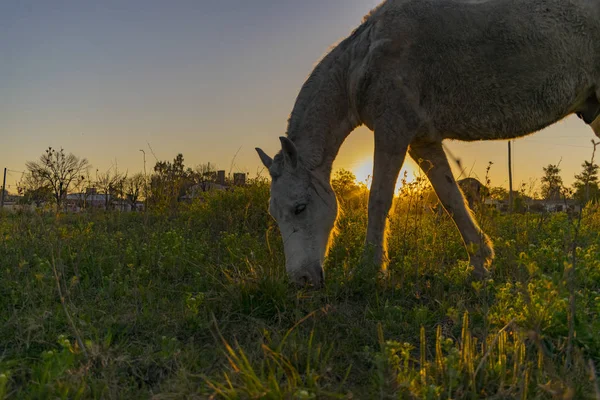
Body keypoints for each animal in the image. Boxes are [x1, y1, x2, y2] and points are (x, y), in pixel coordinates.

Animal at [255, 0, 600, 288]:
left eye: (300, 208)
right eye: (274, 213)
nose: (301, 280)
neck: (362, 60)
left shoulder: (393, 131)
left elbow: (378, 199)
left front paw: (371, 270)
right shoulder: (424, 142)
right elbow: (452, 199)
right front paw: (479, 264)